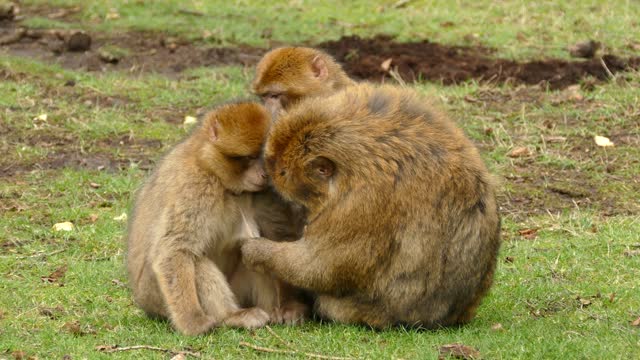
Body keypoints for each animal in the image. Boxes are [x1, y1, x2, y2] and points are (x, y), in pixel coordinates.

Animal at [126, 101, 306, 334]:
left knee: (252, 251)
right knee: (197, 261)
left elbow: (277, 237)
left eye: (264, 157)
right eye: (249, 158)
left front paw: (290, 305)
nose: (265, 174)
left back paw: (274, 311)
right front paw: (192, 322)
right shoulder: (195, 188)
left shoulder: (266, 194)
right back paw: (231, 317)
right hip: (156, 298)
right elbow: (174, 250)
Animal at [240, 83, 500, 330]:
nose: (270, 175)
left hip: (369, 311)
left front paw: (258, 251)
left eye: (283, 172)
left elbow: (322, 267)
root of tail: (453, 317)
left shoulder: (360, 204)